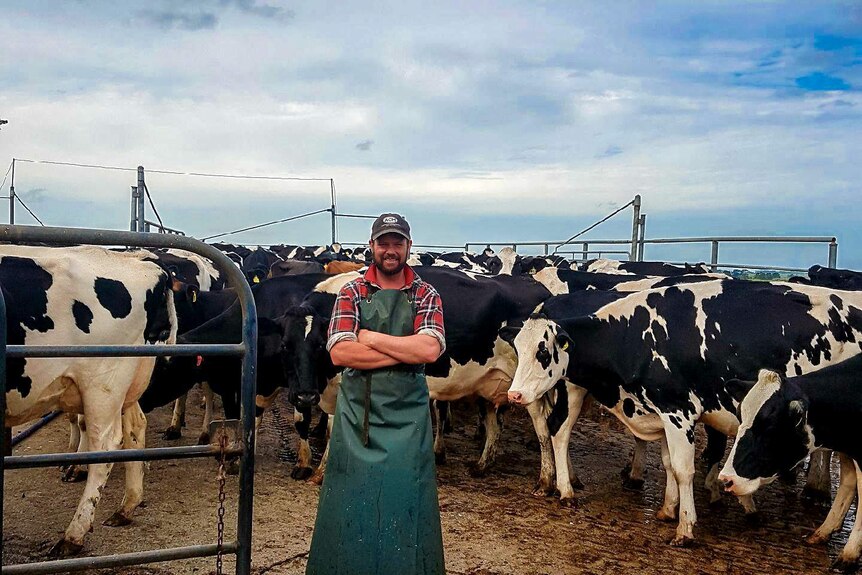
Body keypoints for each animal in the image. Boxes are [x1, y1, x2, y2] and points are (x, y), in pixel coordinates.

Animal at [0, 244, 179, 560]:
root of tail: (138, 260)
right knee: (135, 428)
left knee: (106, 443)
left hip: (102, 383)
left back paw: (74, 535)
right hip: (124, 385)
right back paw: (126, 506)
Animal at [724, 360, 862, 572]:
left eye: (769, 426)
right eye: (740, 416)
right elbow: (848, 482)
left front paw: (849, 555)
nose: (726, 479)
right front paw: (825, 531)